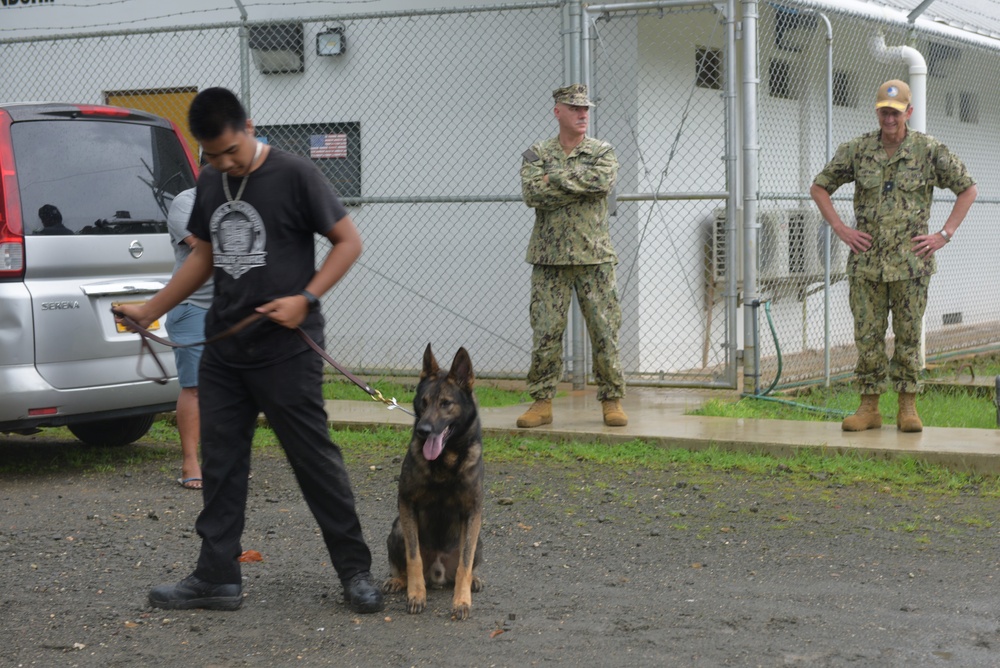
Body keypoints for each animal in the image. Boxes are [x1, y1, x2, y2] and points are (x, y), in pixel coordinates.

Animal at [382, 344, 484, 620]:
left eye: (446, 403)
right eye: (423, 402)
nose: (423, 430)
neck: (445, 461)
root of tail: (438, 575)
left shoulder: (472, 511)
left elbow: (464, 563)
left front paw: (461, 601)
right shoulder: (407, 504)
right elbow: (413, 558)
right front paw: (416, 595)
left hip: (479, 538)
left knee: (468, 562)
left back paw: (474, 580)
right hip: (397, 527)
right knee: (402, 566)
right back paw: (398, 580)